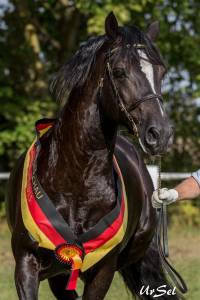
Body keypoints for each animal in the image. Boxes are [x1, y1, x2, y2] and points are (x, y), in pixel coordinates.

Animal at [5, 12, 177, 300]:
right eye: (119, 71)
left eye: (161, 72)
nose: (160, 134)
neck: (74, 180)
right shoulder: (26, 266)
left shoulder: (102, 271)